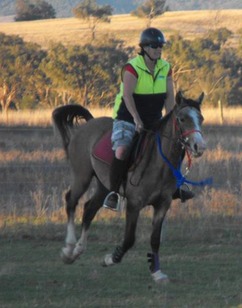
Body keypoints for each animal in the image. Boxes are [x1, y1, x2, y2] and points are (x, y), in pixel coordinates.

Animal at [52, 90, 206, 282]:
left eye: (201, 118)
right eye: (182, 119)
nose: (199, 146)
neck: (159, 164)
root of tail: (89, 124)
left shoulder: (162, 204)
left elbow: (155, 239)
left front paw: (156, 272)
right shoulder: (134, 204)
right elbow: (129, 239)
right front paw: (111, 258)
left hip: (104, 185)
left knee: (89, 209)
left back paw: (78, 250)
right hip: (82, 177)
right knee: (71, 201)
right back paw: (68, 249)